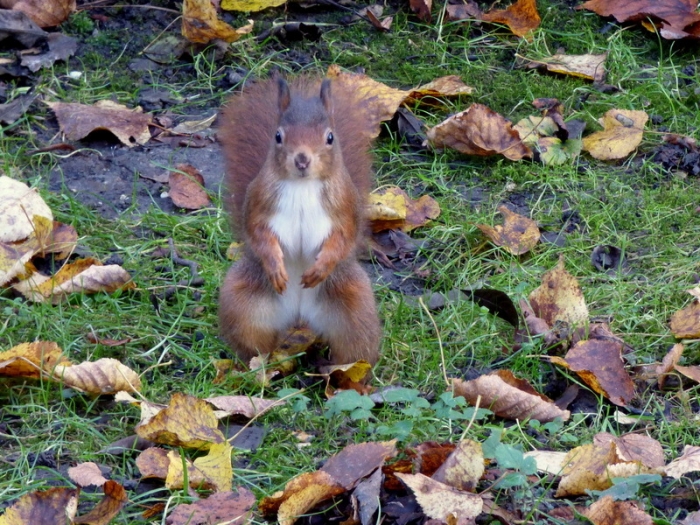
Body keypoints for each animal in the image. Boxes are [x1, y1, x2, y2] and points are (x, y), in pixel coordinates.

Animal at [217, 75, 381, 366]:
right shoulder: (258, 202)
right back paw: (259, 368)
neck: (303, 185)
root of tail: (299, 316)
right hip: (243, 304)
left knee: (354, 351)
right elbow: (258, 233)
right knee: (255, 345)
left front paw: (320, 268)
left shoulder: (346, 207)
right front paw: (275, 267)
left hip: (354, 309)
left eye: (330, 137)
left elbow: (343, 238)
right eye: (278, 136)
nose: (302, 159)